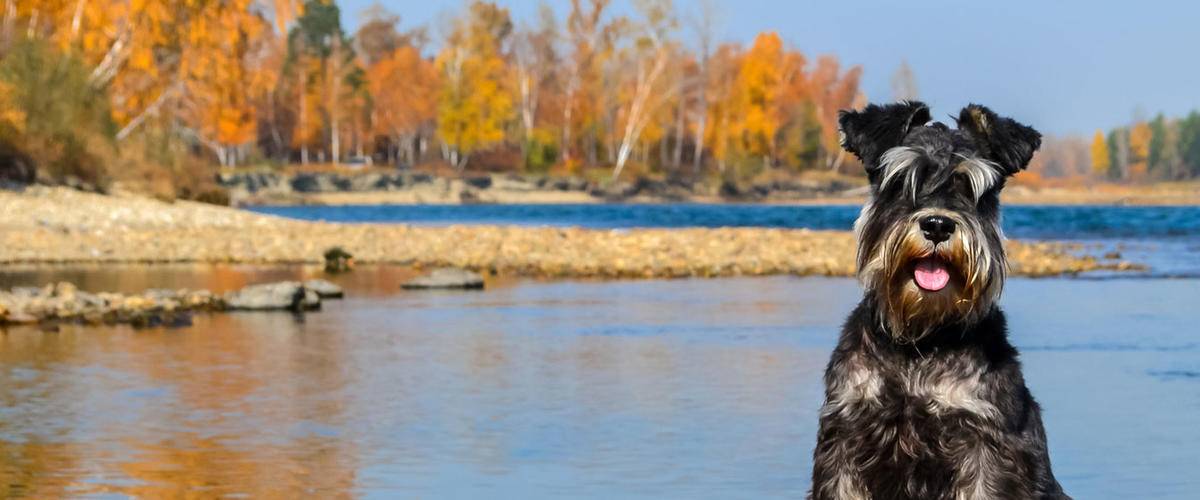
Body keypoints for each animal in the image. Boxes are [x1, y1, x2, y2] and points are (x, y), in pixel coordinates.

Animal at [811, 99, 1075, 496]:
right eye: (902, 181)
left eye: (970, 186)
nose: (937, 225)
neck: (921, 338)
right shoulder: (845, 437)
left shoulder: (984, 446)